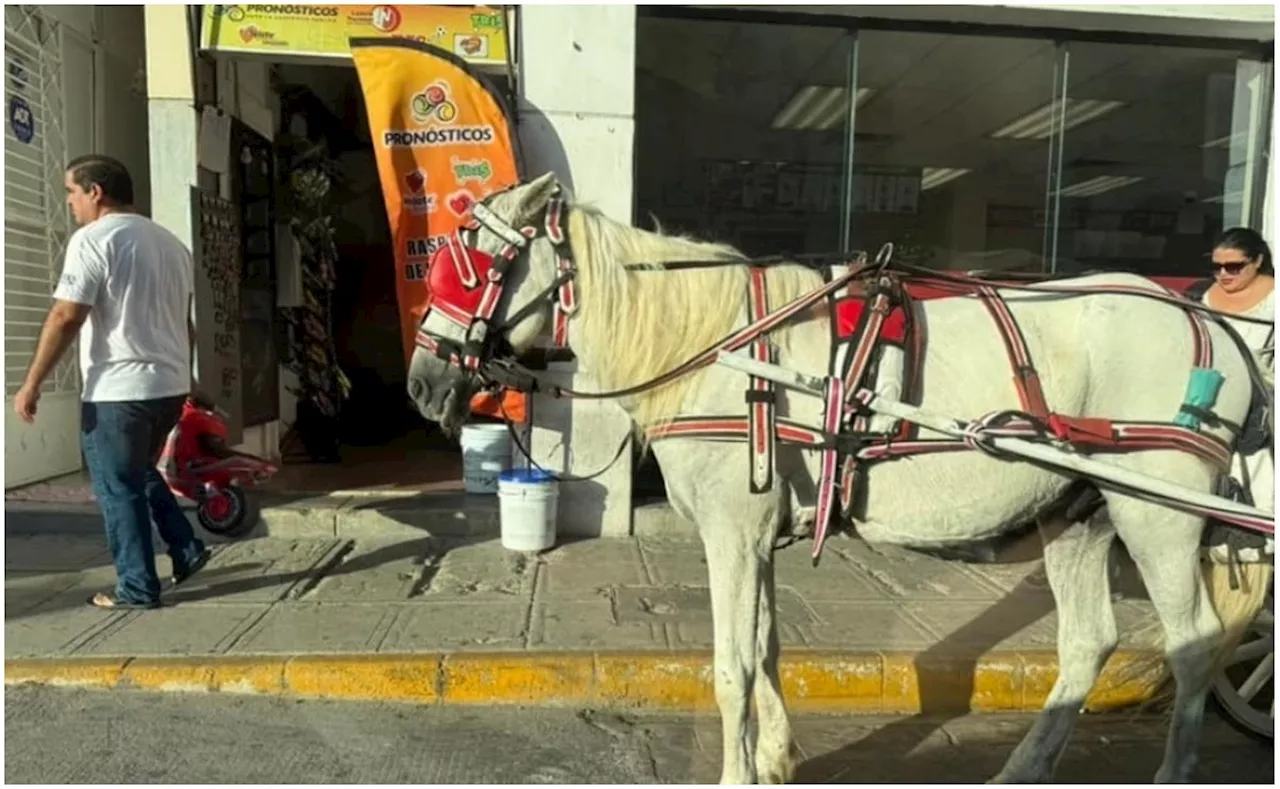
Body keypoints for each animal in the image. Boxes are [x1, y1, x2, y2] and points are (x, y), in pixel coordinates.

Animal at [409, 175, 1269, 783]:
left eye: (471, 264)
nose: (422, 382)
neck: (722, 351)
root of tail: (1213, 324)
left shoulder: (732, 532)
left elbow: (732, 664)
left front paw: (739, 771)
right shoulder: (756, 533)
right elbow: (766, 647)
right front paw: (775, 757)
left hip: (1155, 511)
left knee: (1195, 646)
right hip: (1079, 511)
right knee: (1088, 642)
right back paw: (1022, 766)